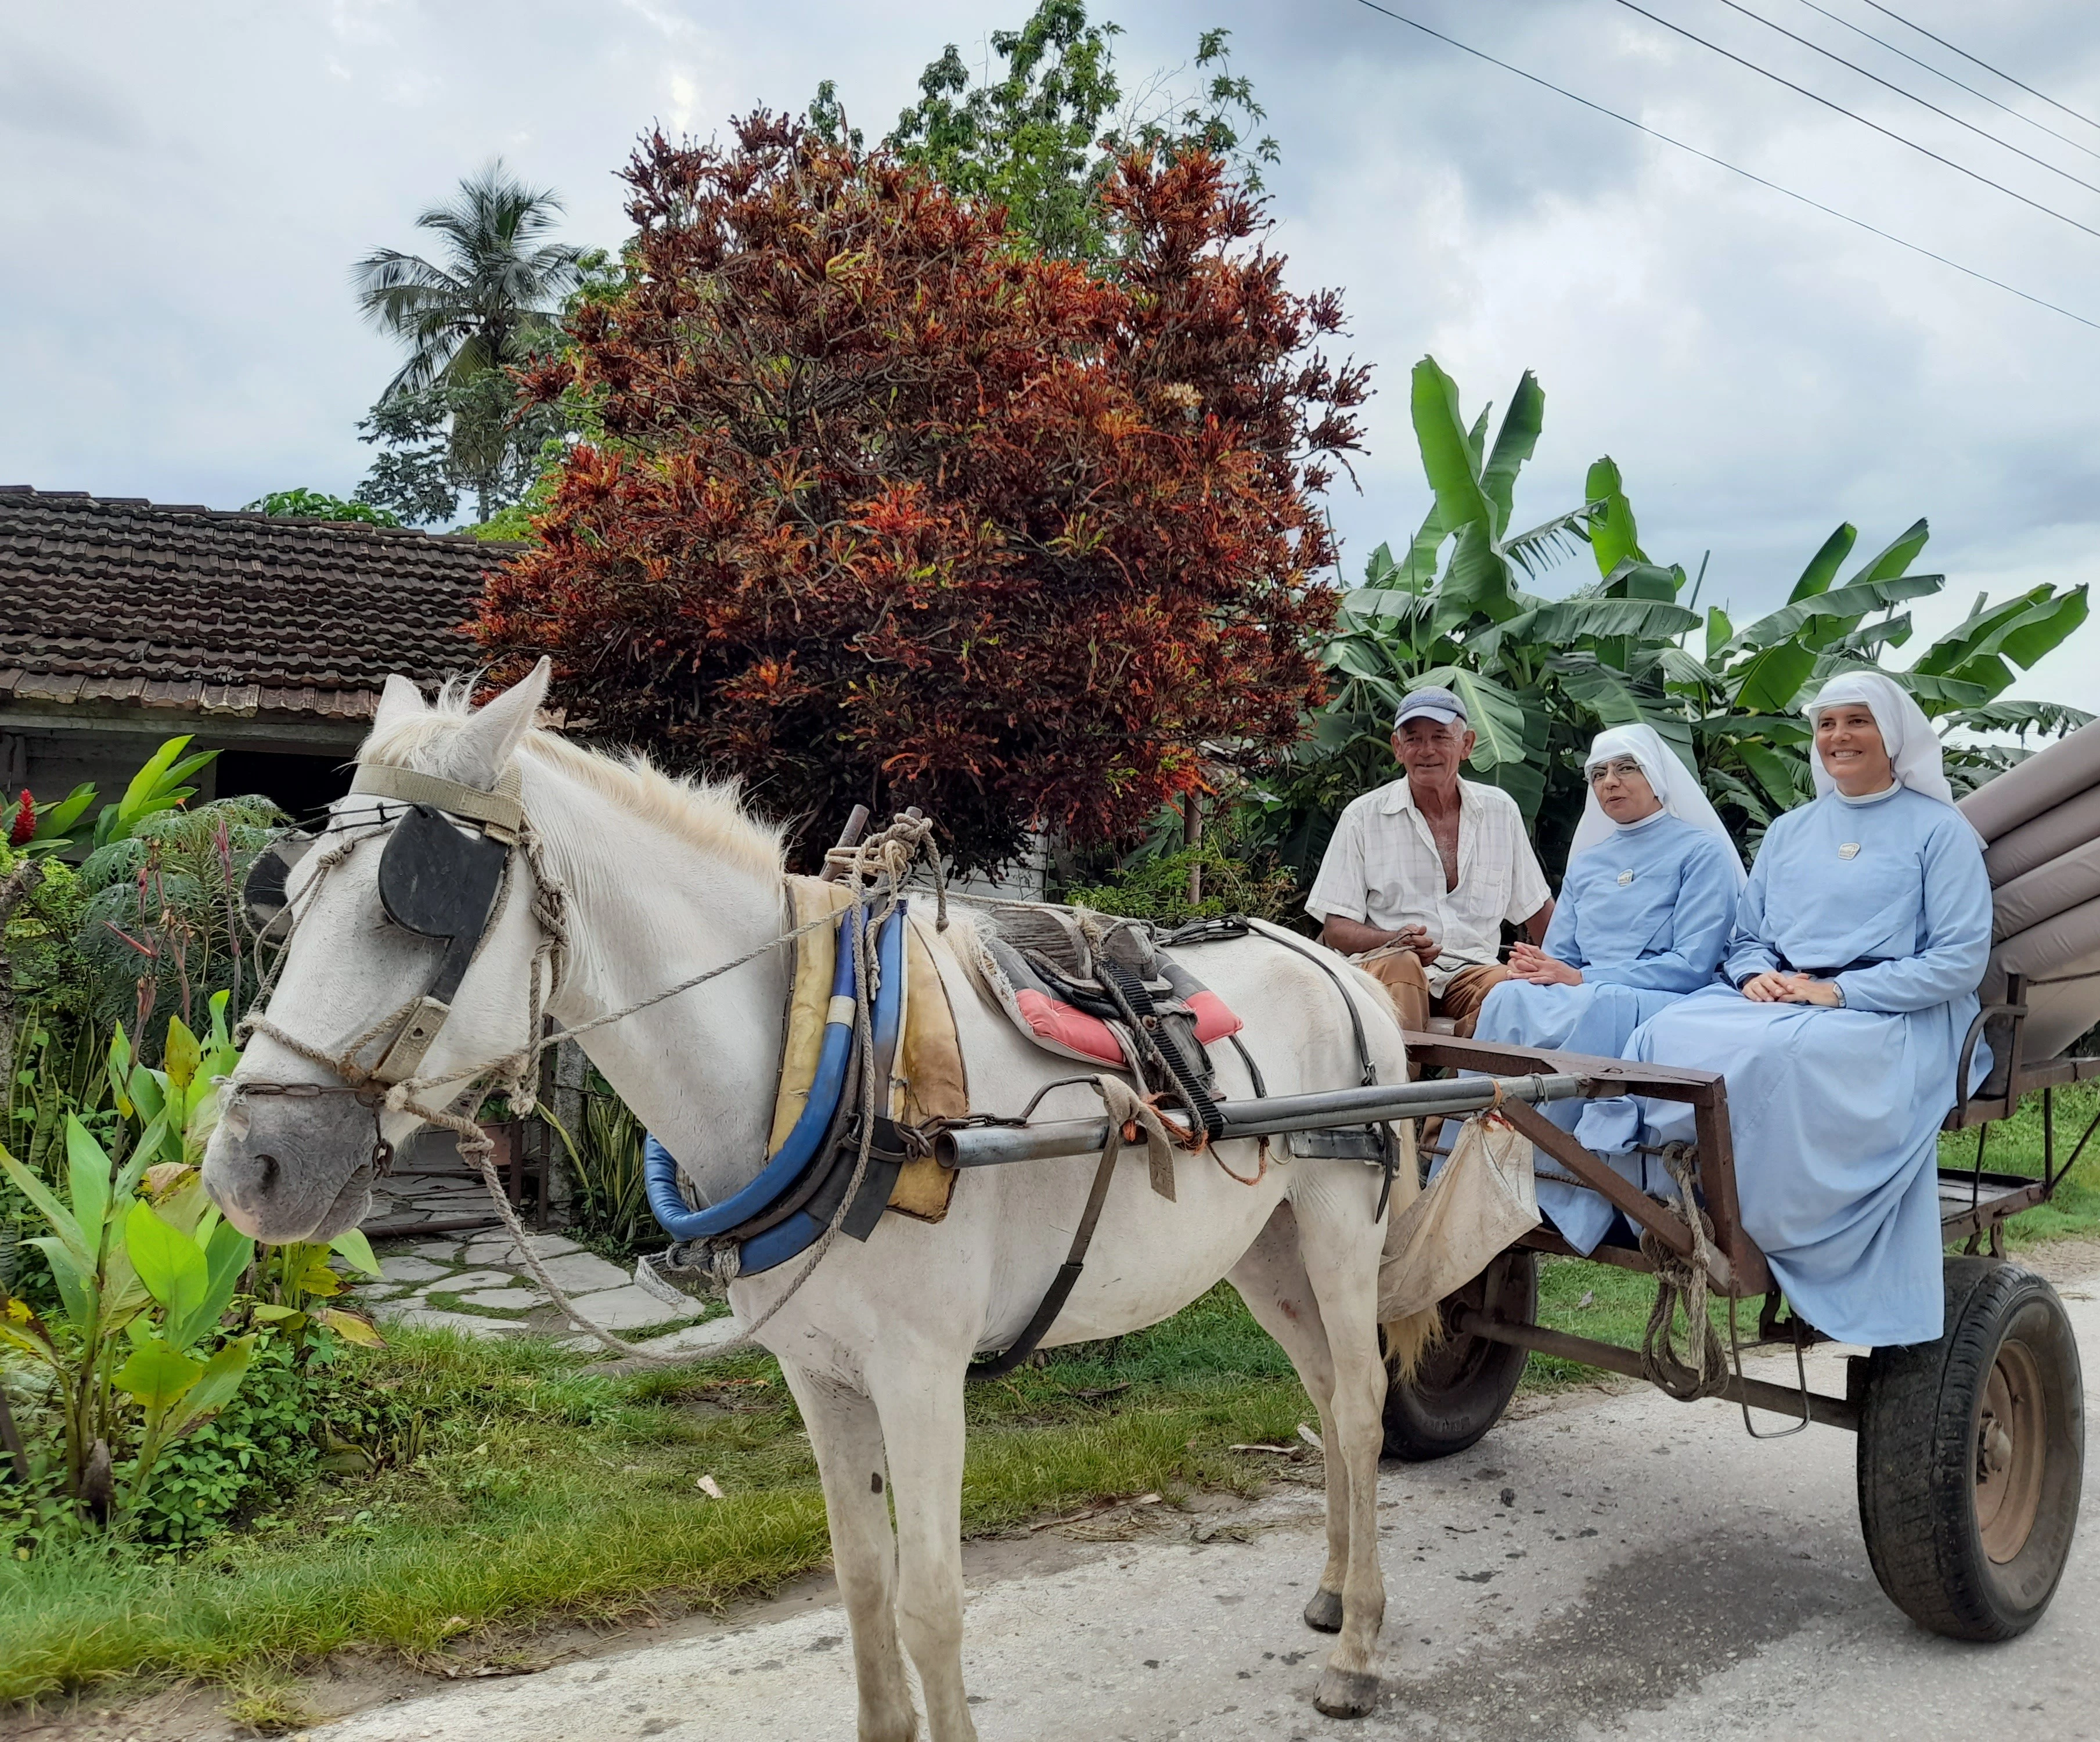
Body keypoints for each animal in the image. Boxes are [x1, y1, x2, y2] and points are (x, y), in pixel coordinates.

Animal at [204, 660, 1436, 1731]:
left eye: (418, 906)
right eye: (289, 896)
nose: (246, 1170)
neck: (821, 1053)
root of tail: (1340, 965)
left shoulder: (922, 1374)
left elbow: (932, 1604)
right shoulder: (819, 1369)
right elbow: (859, 1579)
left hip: (1338, 1225)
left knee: (1361, 1406)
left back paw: (1358, 1651)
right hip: (1264, 1247)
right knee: (1323, 1392)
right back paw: (1334, 1591)